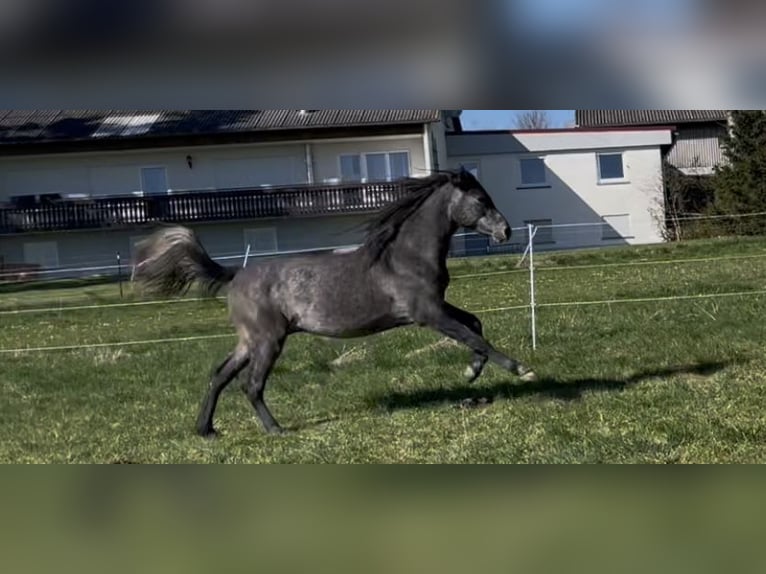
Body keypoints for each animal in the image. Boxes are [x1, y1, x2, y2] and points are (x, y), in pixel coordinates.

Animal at [133, 169, 537, 437]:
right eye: (481, 200)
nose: (505, 231)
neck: (404, 256)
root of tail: (235, 275)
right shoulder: (428, 314)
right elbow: (474, 336)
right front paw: (521, 370)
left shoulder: (436, 307)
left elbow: (476, 325)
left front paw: (471, 372)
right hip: (268, 340)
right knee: (251, 384)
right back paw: (276, 430)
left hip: (249, 341)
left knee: (219, 375)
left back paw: (207, 430)